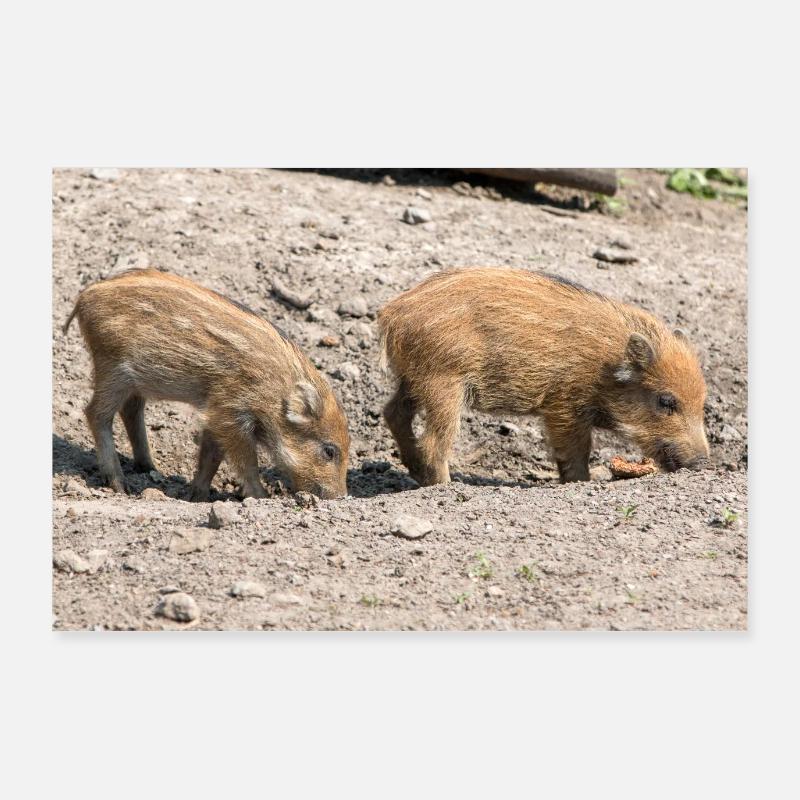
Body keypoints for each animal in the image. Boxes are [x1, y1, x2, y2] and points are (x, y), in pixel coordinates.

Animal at [64, 268, 350, 500]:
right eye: (329, 451)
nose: (340, 497)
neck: (275, 392)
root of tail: (85, 296)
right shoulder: (229, 409)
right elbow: (246, 460)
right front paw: (261, 497)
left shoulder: (216, 413)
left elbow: (211, 455)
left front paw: (198, 496)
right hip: (112, 368)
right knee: (96, 414)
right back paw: (120, 485)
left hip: (134, 381)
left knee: (131, 410)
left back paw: (150, 467)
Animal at [378, 267, 709, 485]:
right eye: (666, 401)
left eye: (703, 405)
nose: (703, 463)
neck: (607, 369)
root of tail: (391, 313)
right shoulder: (564, 407)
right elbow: (575, 452)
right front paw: (581, 483)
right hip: (443, 383)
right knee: (434, 441)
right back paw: (445, 487)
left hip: (413, 379)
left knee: (393, 412)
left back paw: (416, 474)